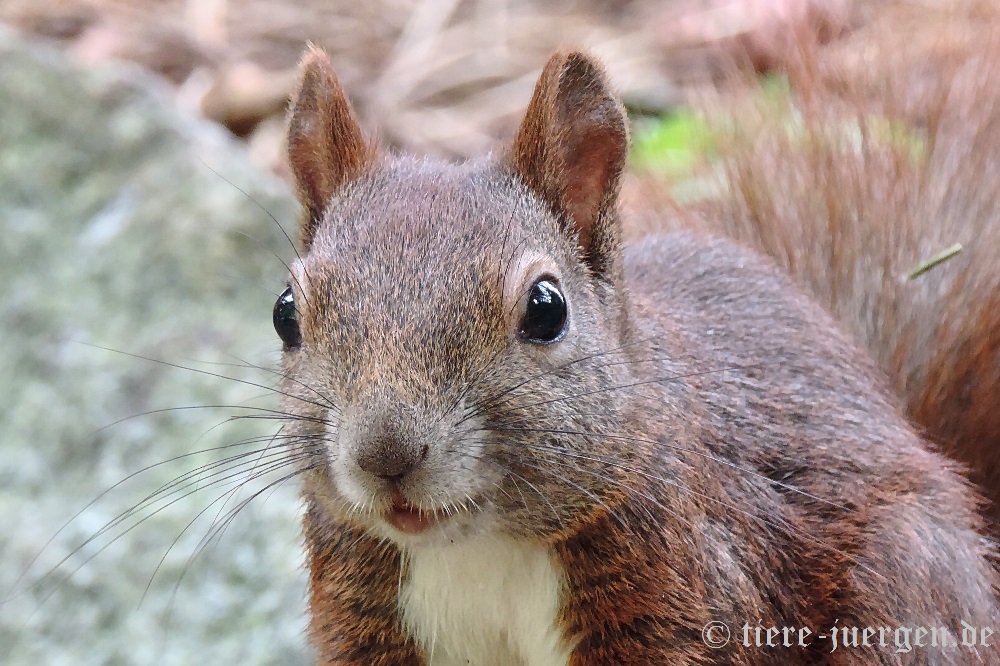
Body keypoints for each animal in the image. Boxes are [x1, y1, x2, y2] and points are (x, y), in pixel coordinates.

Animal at [278, 42, 1000, 664]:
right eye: (285, 313)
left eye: (547, 309)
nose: (385, 455)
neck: (480, 548)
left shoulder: (691, 585)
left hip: (903, 577)